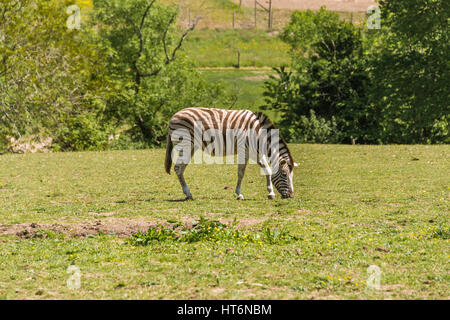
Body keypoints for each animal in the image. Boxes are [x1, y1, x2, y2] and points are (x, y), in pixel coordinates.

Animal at [163, 107, 298, 200]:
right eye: (284, 174)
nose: (291, 196)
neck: (259, 133)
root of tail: (174, 116)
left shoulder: (254, 152)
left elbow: (266, 170)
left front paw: (270, 193)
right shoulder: (246, 150)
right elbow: (242, 172)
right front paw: (240, 194)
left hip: (190, 147)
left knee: (181, 168)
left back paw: (187, 193)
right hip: (185, 145)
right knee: (178, 168)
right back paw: (188, 194)